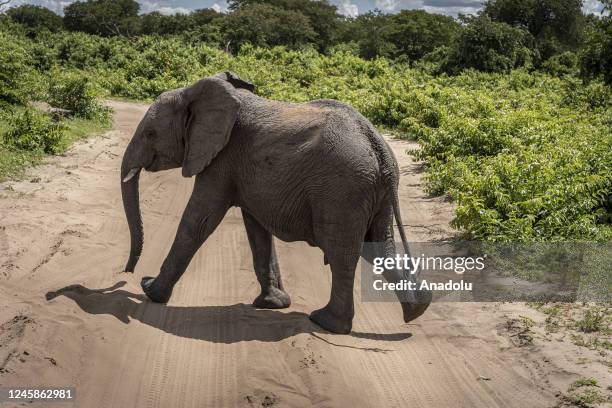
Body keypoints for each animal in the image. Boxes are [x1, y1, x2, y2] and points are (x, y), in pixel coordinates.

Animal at [120, 71, 430, 334]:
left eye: (150, 133)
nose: (128, 272)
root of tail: (379, 146)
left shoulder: (222, 160)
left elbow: (199, 221)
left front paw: (150, 291)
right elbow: (257, 230)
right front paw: (273, 304)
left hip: (343, 190)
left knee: (341, 251)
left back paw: (326, 322)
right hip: (371, 193)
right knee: (378, 245)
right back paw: (416, 310)